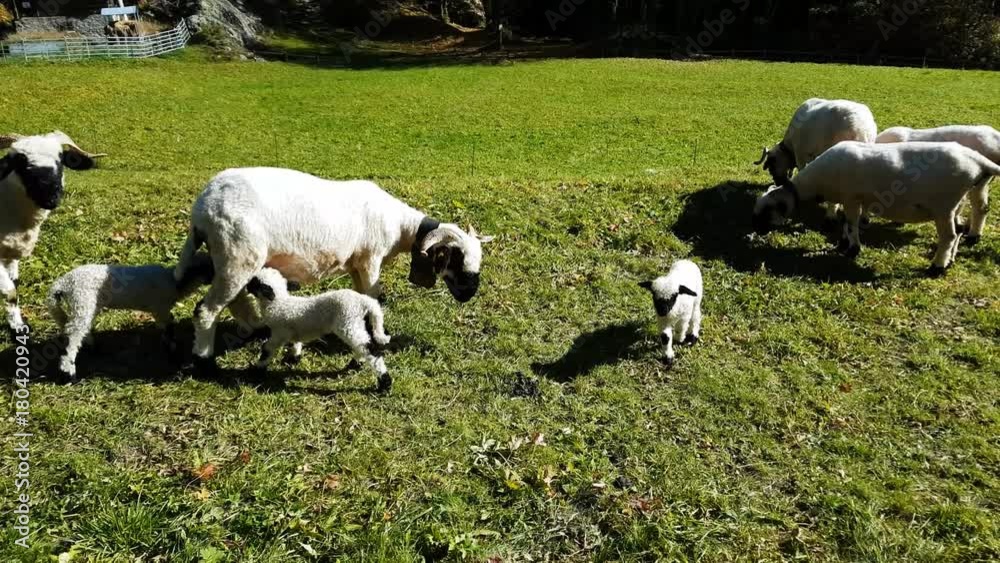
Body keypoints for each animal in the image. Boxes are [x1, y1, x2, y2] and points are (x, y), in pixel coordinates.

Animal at [1, 132, 102, 335]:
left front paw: (18, 326)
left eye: (61, 159)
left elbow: (14, 290)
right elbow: (9, 291)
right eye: (20, 161)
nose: (50, 197)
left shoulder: (12, 251)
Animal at [46, 254, 215, 382]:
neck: (173, 282)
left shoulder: (160, 310)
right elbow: (168, 328)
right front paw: (173, 352)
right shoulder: (160, 308)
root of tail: (63, 283)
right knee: (72, 335)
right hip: (82, 300)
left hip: (85, 306)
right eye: (210, 267)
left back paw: (92, 347)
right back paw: (69, 372)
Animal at [173, 167, 493, 372]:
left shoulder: (356, 265)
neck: (401, 227)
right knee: (206, 310)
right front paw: (375, 339)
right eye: (457, 260)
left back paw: (253, 327)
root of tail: (202, 207)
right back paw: (204, 358)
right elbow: (374, 299)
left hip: (231, 257)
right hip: (237, 254)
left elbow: (362, 296)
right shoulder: (370, 259)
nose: (469, 294)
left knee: (235, 300)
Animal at [244, 267, 393, 393]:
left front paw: (258, 370)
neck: (278, 302)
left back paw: (384, 383)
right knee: (363, 345)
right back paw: (355, 363)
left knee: (370, 350)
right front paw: (294, 357)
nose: (246, 286)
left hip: (347, 323)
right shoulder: (293, 329)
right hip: (355, 324)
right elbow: (296, 341)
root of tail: (364, 301)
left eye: (254, 282)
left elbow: (267, 348)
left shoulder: (279, 332)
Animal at [752, 141, 1000, 275]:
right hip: (957, 203)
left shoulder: (851, 198)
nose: (755, 232)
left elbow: (851, 224)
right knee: (959, 231)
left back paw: (936, 267)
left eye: (767, 211)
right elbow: (847, 222)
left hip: (944, 205)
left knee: (948, 235)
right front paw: (843, 244)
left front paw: (852, 249)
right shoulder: (853, 199)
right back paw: (950, 262)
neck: (817, 182)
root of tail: (977, 161)